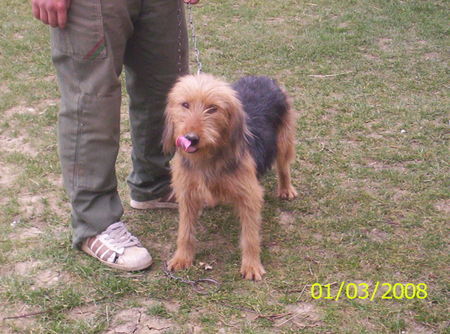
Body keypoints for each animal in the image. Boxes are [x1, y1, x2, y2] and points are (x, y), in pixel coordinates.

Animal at [163, 73, 298, 280]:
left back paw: (286, 189)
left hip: (284, 139)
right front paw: (182, 258)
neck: (208, 159)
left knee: (283, 166)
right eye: (185, 104)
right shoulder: (187, 194)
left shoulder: (249, 196)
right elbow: (184, 231)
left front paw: (251, 265)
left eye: (213, 108)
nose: (191, 138)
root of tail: (262, 77)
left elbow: (250, 236)